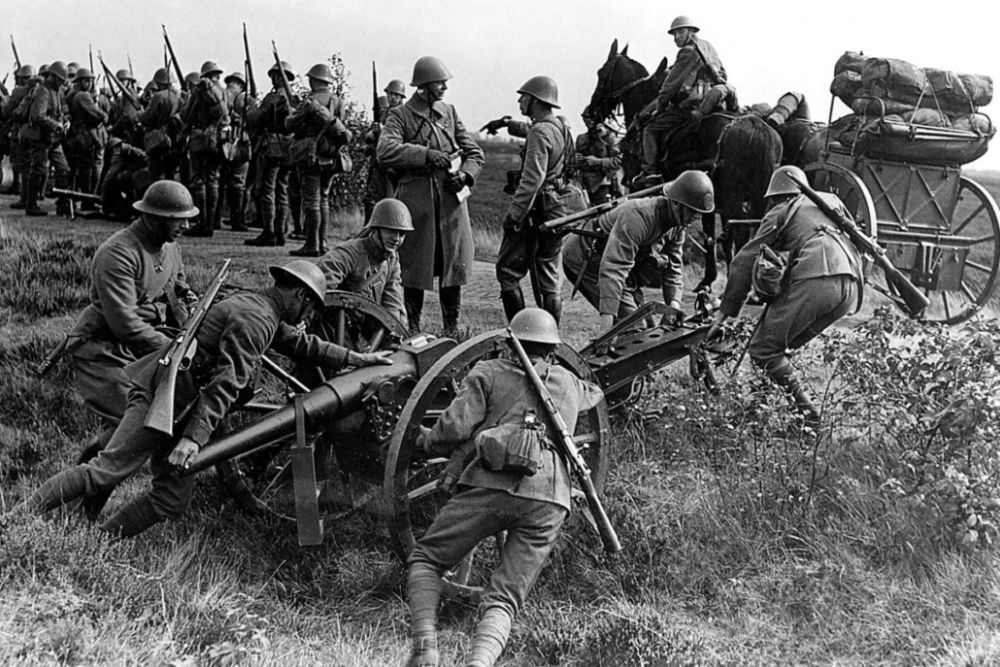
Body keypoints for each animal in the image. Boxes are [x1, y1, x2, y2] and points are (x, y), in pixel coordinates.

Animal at [588, 40, 784, 278]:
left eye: (602, 72)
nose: (590, 112)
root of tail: (758, 127)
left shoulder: (642, 188)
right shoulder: (709, 198)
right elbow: (714, 237)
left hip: (734, 198)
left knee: (742, 232)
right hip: (756, 197)